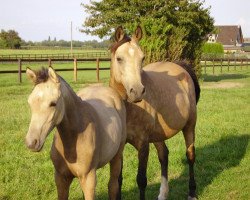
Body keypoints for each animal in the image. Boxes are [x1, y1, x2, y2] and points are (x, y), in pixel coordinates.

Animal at [25, 67, 127, 200]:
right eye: (30, 102)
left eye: (53, 103)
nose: (31, 143)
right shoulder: (61, 178)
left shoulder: (89, 178)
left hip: (116, 156)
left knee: (113, 185)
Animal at [110, 26, 200, 200]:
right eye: (119, 58)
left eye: (142, 58)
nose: (137, 91)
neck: (129, 110)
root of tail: (181, 68)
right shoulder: (120, 147)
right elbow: (118, 180)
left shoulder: (143, 144)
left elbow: (141, 180)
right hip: (159, 134)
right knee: (164, 155)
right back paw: (163, 194)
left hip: (190, 126)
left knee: (190, 155)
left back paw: (192, 192)